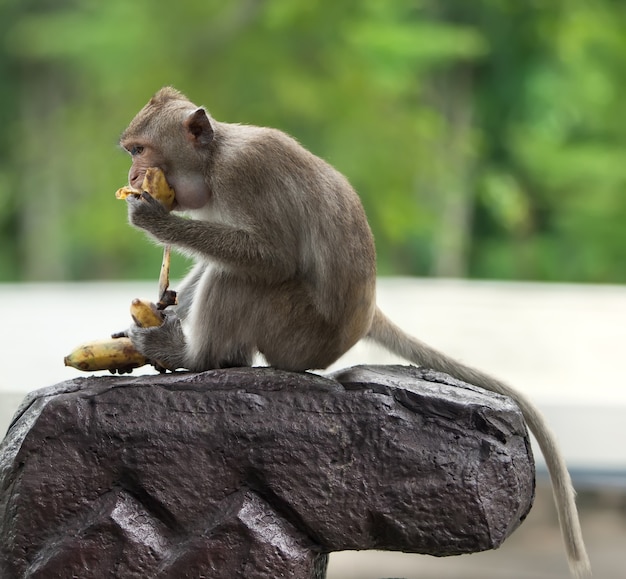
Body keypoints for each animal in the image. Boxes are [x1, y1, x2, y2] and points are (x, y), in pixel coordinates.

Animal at [118, 87, 588, 579]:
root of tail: (367, 313)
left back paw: (193, 358)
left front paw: (155, 223)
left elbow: (272, 257)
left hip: (298, 331)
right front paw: (162, 309)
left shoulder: (246, 174)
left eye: (139, 150)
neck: (212, 162)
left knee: (239, 278)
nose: (131, 175)